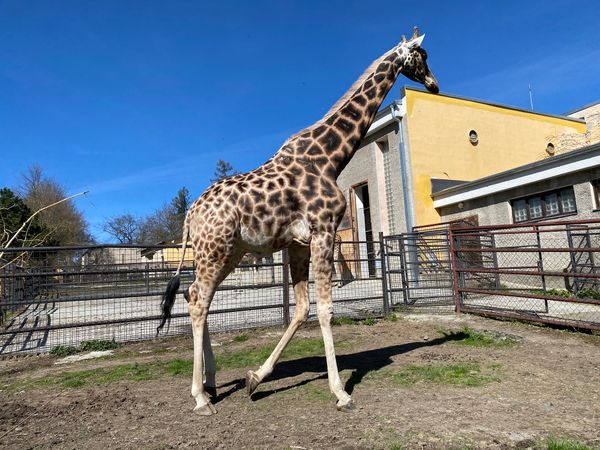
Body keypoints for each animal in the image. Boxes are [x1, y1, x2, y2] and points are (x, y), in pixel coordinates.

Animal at [157, 27, 438, 414]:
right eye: (423, 56)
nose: (434, 84)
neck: (328, 157)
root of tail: (190, 213)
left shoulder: (298, 243)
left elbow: (303, 309)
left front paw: (255, 378)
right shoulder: (323, 231)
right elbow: (325, 309)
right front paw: (341, 392)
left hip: (227, 253)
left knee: (194, 295)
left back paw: (212, 384)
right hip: (215, 251)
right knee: (198, 300)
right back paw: (200, 397)